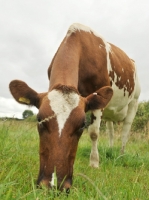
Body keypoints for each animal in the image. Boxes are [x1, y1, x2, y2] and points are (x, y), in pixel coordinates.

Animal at [9, 23, 141, 191]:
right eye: (39, 120)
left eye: (82, 124)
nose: (53, 185)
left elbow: (94, 133)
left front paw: (94, 163)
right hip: (110, 112)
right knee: (111, 131)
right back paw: (111, 149)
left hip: (134, 102)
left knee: (125, 131)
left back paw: (120, 155)